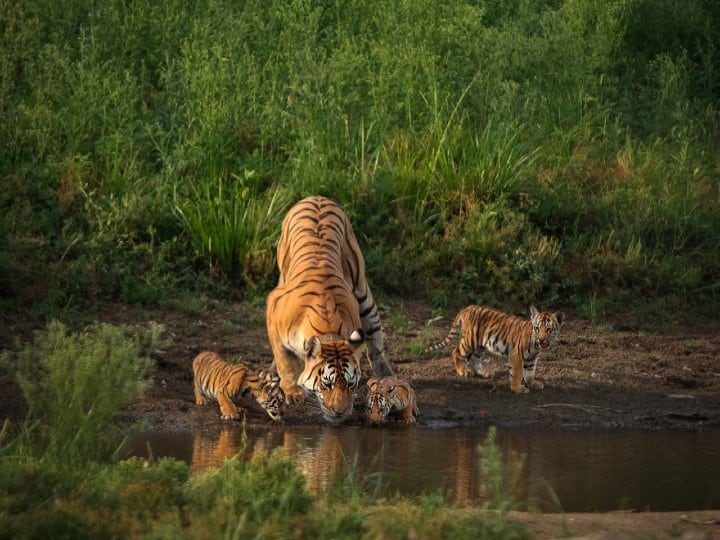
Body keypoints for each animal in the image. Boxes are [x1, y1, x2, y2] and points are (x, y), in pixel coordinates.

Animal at [268, 196, 394, 424]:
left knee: (376, 339)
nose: (340, 412)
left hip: (362, 292)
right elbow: (285, 361)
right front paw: (292, 392)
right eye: (327, 384)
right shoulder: (273, 313)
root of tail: (316, 197)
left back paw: (384, 375)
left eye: (351, 384)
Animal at [422, 306, 568, 394]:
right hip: (470, 340)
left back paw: (484, 373)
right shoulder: (517, 355)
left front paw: (533, 384)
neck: (536, 345)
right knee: (456, 352)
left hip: (480, 345)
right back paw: (463, 371)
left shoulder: (532, 359)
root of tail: (467, 308)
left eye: (548, 329)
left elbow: (530, 373)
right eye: (537, 328)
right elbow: (517, 373)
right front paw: (518, 388)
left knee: (474, 359)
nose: (542, 340)